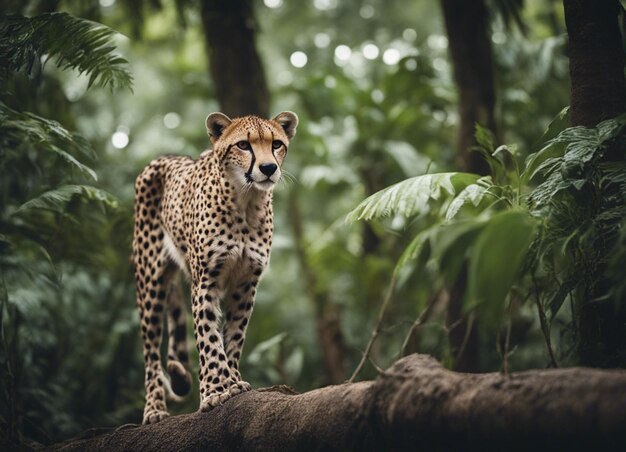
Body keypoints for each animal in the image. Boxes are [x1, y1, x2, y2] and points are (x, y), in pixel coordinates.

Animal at [132, 109, 298, 424]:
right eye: (243, 145)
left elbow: (234, 336)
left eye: (276, 144)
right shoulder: (205, 281)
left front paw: (232, 381)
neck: (247, 202)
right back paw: (154, 408)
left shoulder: (245, 284)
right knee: (149, 352)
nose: (269, 168)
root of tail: (164, 157)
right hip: (149, 283)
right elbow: (209, 338)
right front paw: (214, 391)